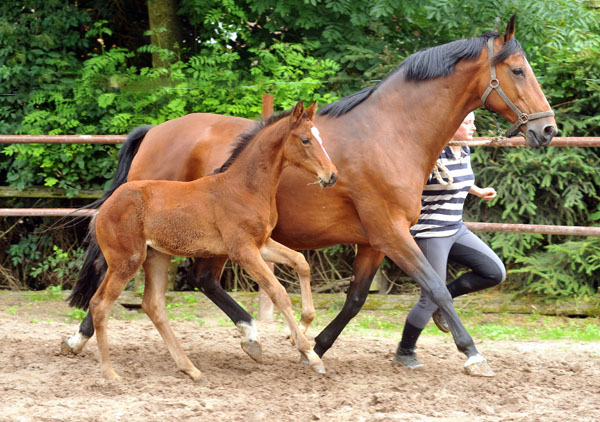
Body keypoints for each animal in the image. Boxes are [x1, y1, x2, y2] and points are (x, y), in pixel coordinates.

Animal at [86, 101, 338, 380]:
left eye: (320, 138)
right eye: (305, 139)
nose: (331, 175)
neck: (244, 188)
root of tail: (105, 206)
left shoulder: (261, 244)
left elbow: (301, 262)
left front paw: (302, 328)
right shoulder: (242, 251)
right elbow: (278, 291)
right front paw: (309, 353)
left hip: (156, 256)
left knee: (153, 306)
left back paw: (190, 368)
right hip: (126, 260)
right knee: (100, 304)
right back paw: (110, 373)